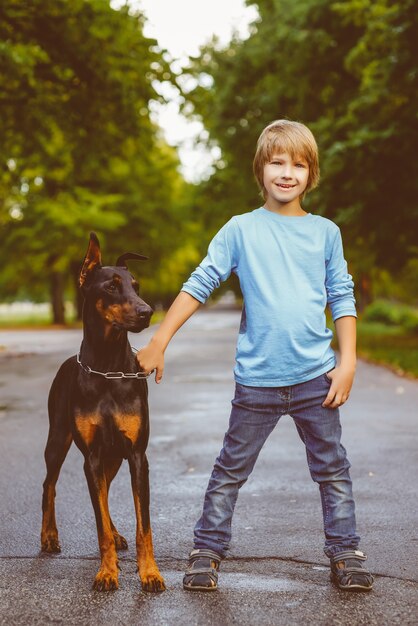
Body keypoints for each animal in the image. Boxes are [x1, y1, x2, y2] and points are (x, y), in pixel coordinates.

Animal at [40, 233, 165, 588]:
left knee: (106, 491)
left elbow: (143, 525)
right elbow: (98, 523)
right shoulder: (92, 456)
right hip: (59, 439)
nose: (147, 311)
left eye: (136, 285)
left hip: (113, 456)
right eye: (111, 286)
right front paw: (107, 572)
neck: (108, 367)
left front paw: (150, 572)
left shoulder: (136, 455)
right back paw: (49, 536)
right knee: (49, 485)